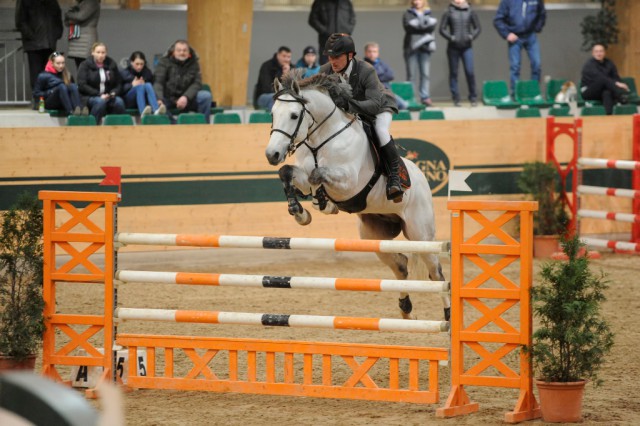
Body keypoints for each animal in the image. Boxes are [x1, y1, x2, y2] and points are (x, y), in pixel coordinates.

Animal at [262, 73, 448, 320]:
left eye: (294, 115)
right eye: (273, 114)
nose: (272, 154)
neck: (321, 138)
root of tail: (421, 178)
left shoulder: (349, 182)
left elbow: (317, 174)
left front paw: (323, 203)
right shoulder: (301, 175)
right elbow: (289, 173)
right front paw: (301, 212)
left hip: (421, 234)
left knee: (436, 273)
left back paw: (447, 315)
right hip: (373, 235)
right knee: (401, 264)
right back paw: (406, 310)